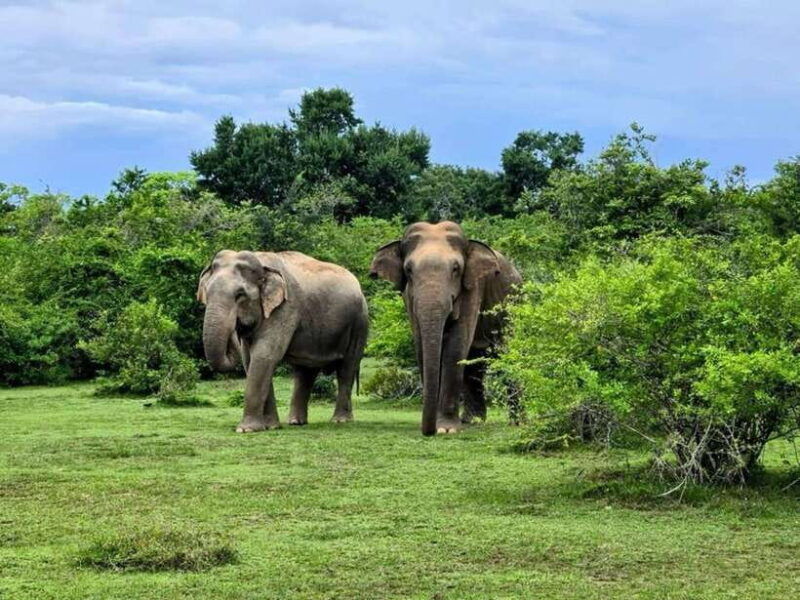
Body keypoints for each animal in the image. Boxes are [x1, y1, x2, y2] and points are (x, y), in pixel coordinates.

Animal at [197, 250, 368, 433]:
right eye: (206, 293)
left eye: (240, 295)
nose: (236, 329)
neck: (262, 264)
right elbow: (250, 360)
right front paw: (271, 427)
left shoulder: (285, 308)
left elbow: (265, 355)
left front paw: (246, 430)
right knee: (305, 372)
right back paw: (296, 422)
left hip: (359, 323)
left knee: (347, 368)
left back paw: (340, 421)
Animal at [370, 221, 521, 436]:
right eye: (408, 270)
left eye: (456, 269)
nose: (428, 431)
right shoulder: (409, 296)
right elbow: (421, 345)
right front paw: (442, 426)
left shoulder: (473, 287)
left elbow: (456, 346)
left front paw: (446, 429)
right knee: (474, 365)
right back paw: (472, 421)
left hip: (514, 302)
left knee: (508, 352)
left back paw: (518, 423)